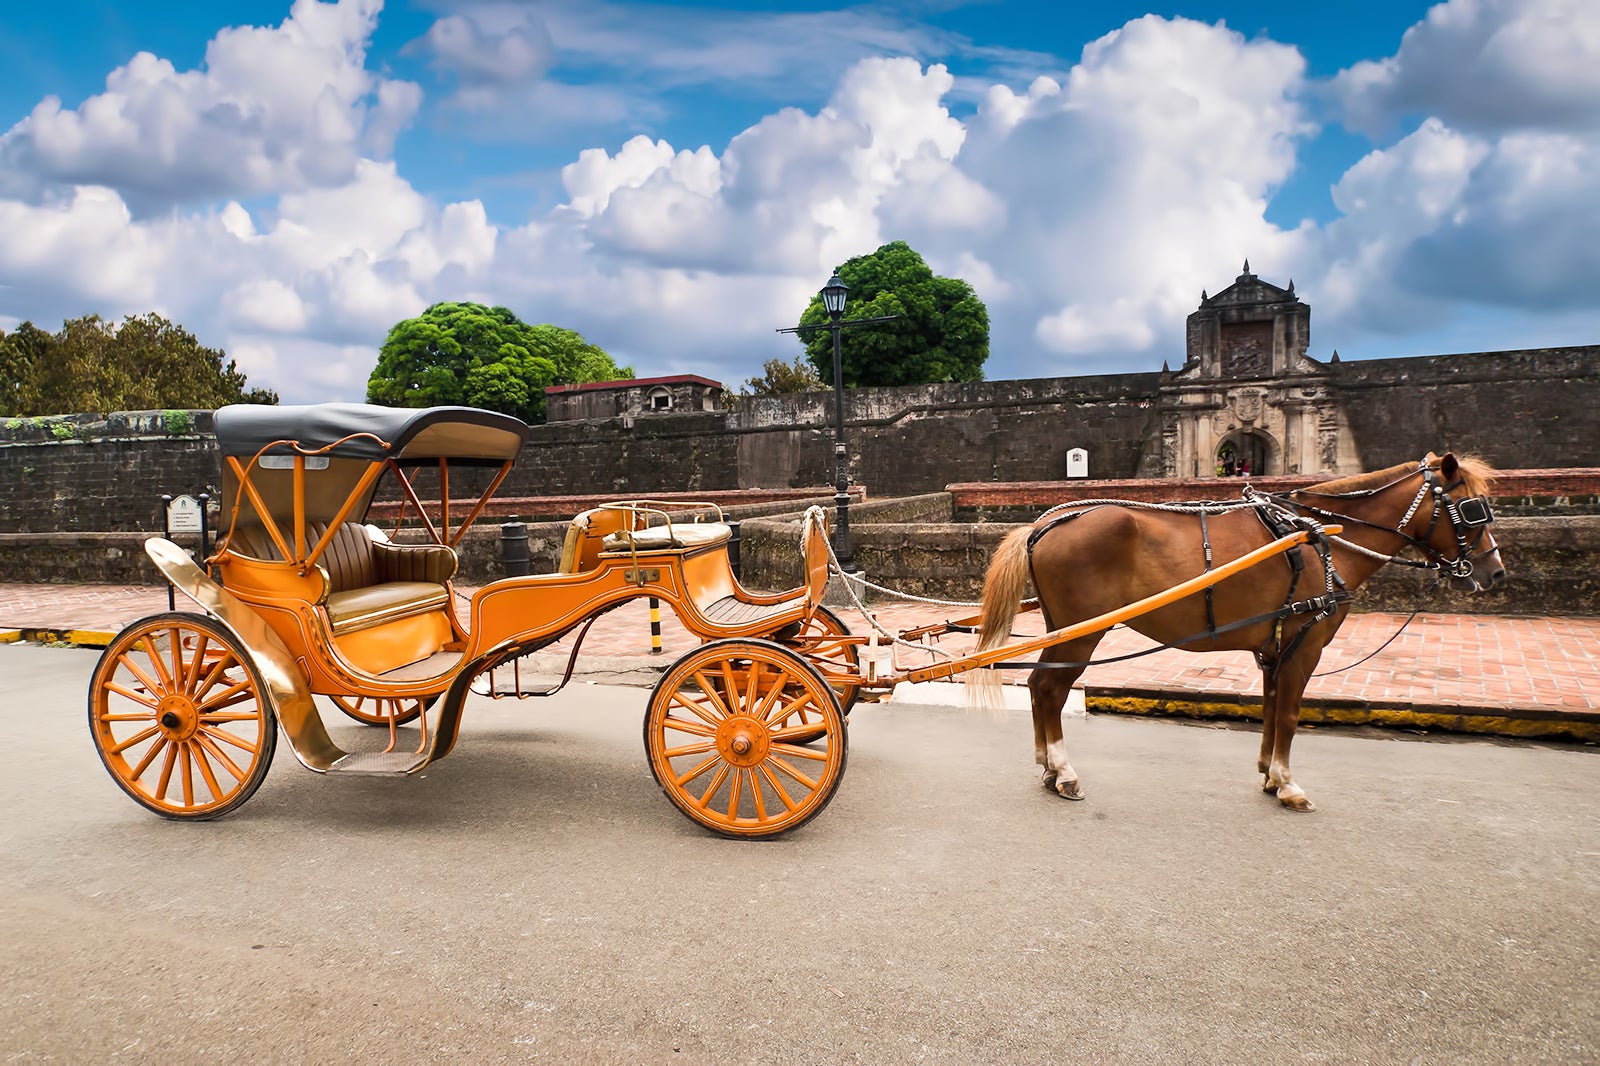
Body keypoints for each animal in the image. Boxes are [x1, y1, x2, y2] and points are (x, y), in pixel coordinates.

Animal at [966, 451, 1504, 809]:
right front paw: (1288, 784)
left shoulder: (1275, 646)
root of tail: (1043, 524)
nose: (1494, 572)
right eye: (1472, 509)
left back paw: (1047, 765)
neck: (1324, 540)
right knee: (1051, 690)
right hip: (1082, 630)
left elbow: (1270, 710)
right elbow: (1289, 714)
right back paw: (1063, 770)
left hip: (1060, 628)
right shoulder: (1305, 642)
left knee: (1039, 686)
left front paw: (1269, 774)